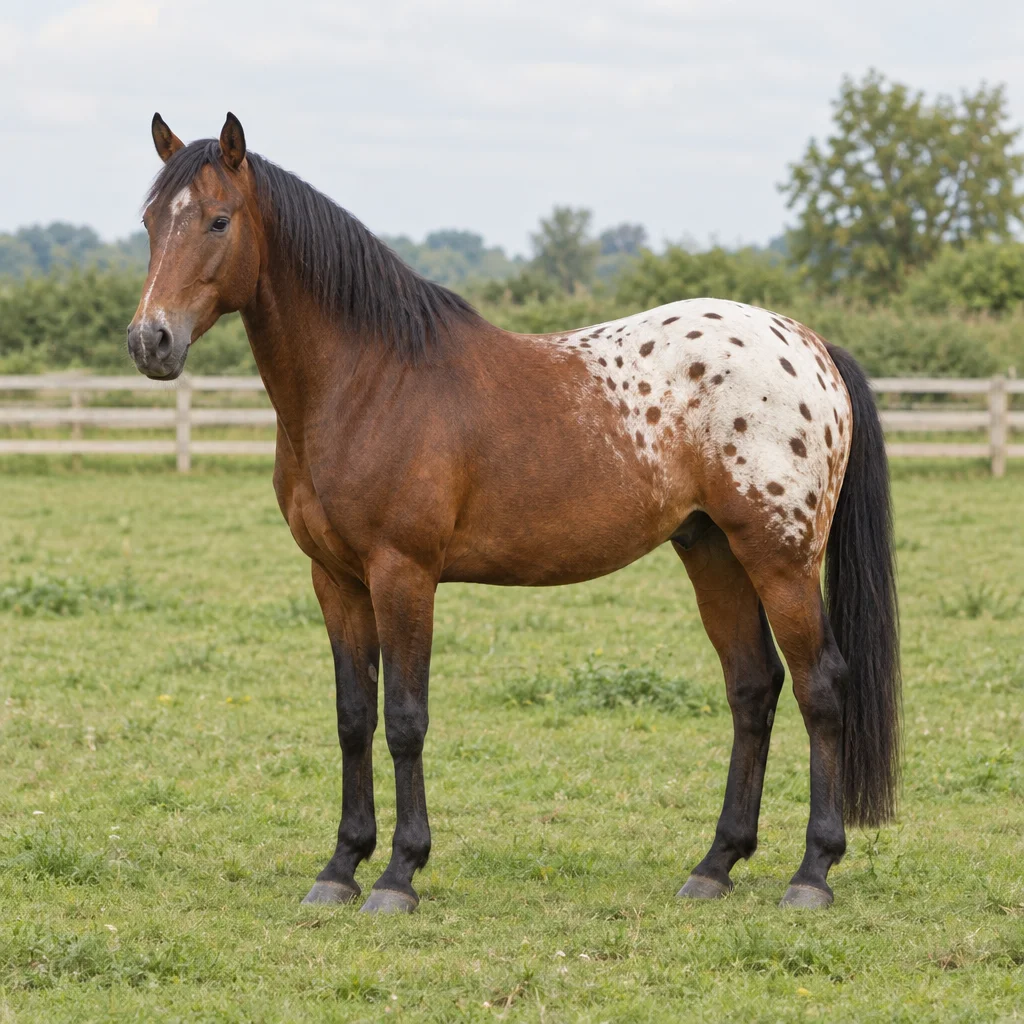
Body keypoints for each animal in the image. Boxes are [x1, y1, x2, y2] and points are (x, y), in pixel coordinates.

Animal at [127, 112, 900, 913]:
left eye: (219, 220)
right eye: (150, 221)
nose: (151, 341)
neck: (369, 379)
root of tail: (810, 347)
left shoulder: (403, 573)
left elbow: (405, 719)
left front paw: (399, 873)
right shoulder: (334, 579)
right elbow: (353, 717)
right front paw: (340, 867)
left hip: (780, 560)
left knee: (820, 688)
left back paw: (812, 871)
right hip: (713, 550)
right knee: (752, 688)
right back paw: (715, 864)